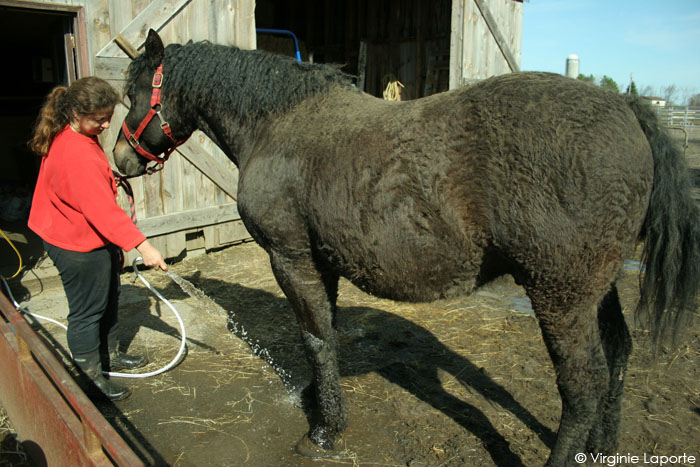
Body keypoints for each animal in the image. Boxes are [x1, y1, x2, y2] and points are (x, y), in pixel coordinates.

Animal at [112, 31, 696, 466]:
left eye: (134, 93)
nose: (120, 160)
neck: (278, 124)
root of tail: (626, 108)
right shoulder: (322, 263)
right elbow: (323, 336)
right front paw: (317, 404)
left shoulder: (291, 258)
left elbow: (315, 339)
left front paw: (323, 432)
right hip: (596, 287)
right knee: (618, 354)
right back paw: (604, 447)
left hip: (560, 295)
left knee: (583, 384)